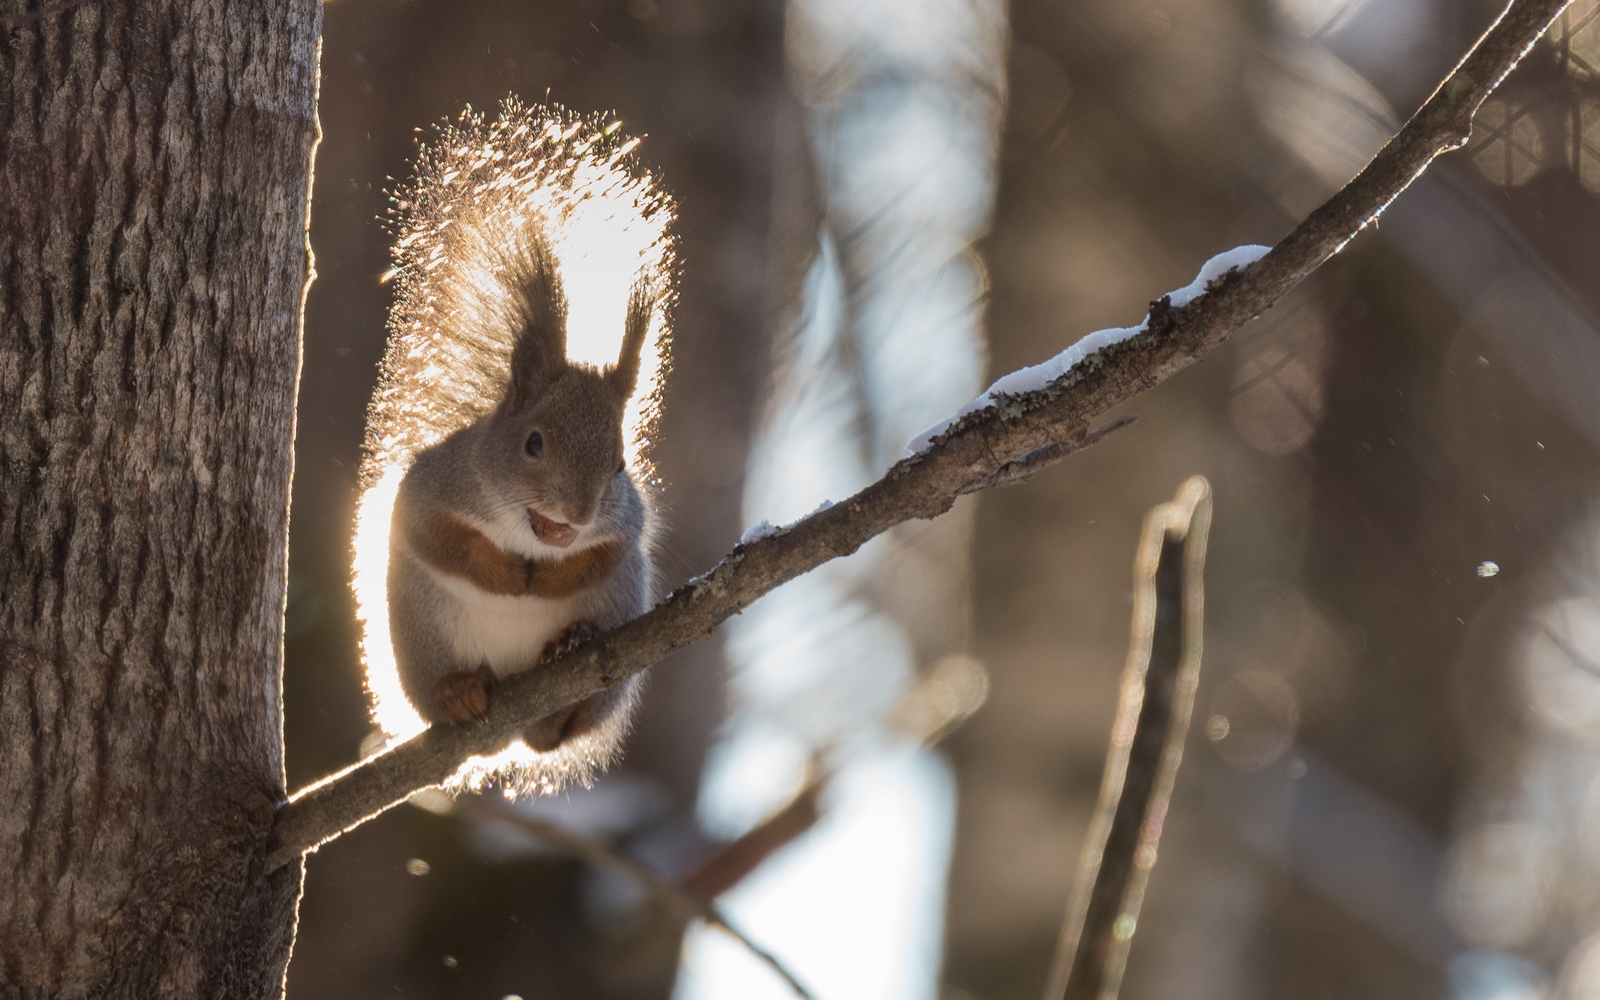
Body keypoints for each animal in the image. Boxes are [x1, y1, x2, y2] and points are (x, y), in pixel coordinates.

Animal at [350, 101, 675, 796]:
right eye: (533, 443)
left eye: (620, 466)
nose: (576, 515)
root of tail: (509, 733)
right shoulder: (434, 485)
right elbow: (435, 537)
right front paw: (503, 573)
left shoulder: (627, 524)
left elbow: (608, 553)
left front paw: (553, 581)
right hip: (418, 634)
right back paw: (457, 693)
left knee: (556, 734)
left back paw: (567, 657)